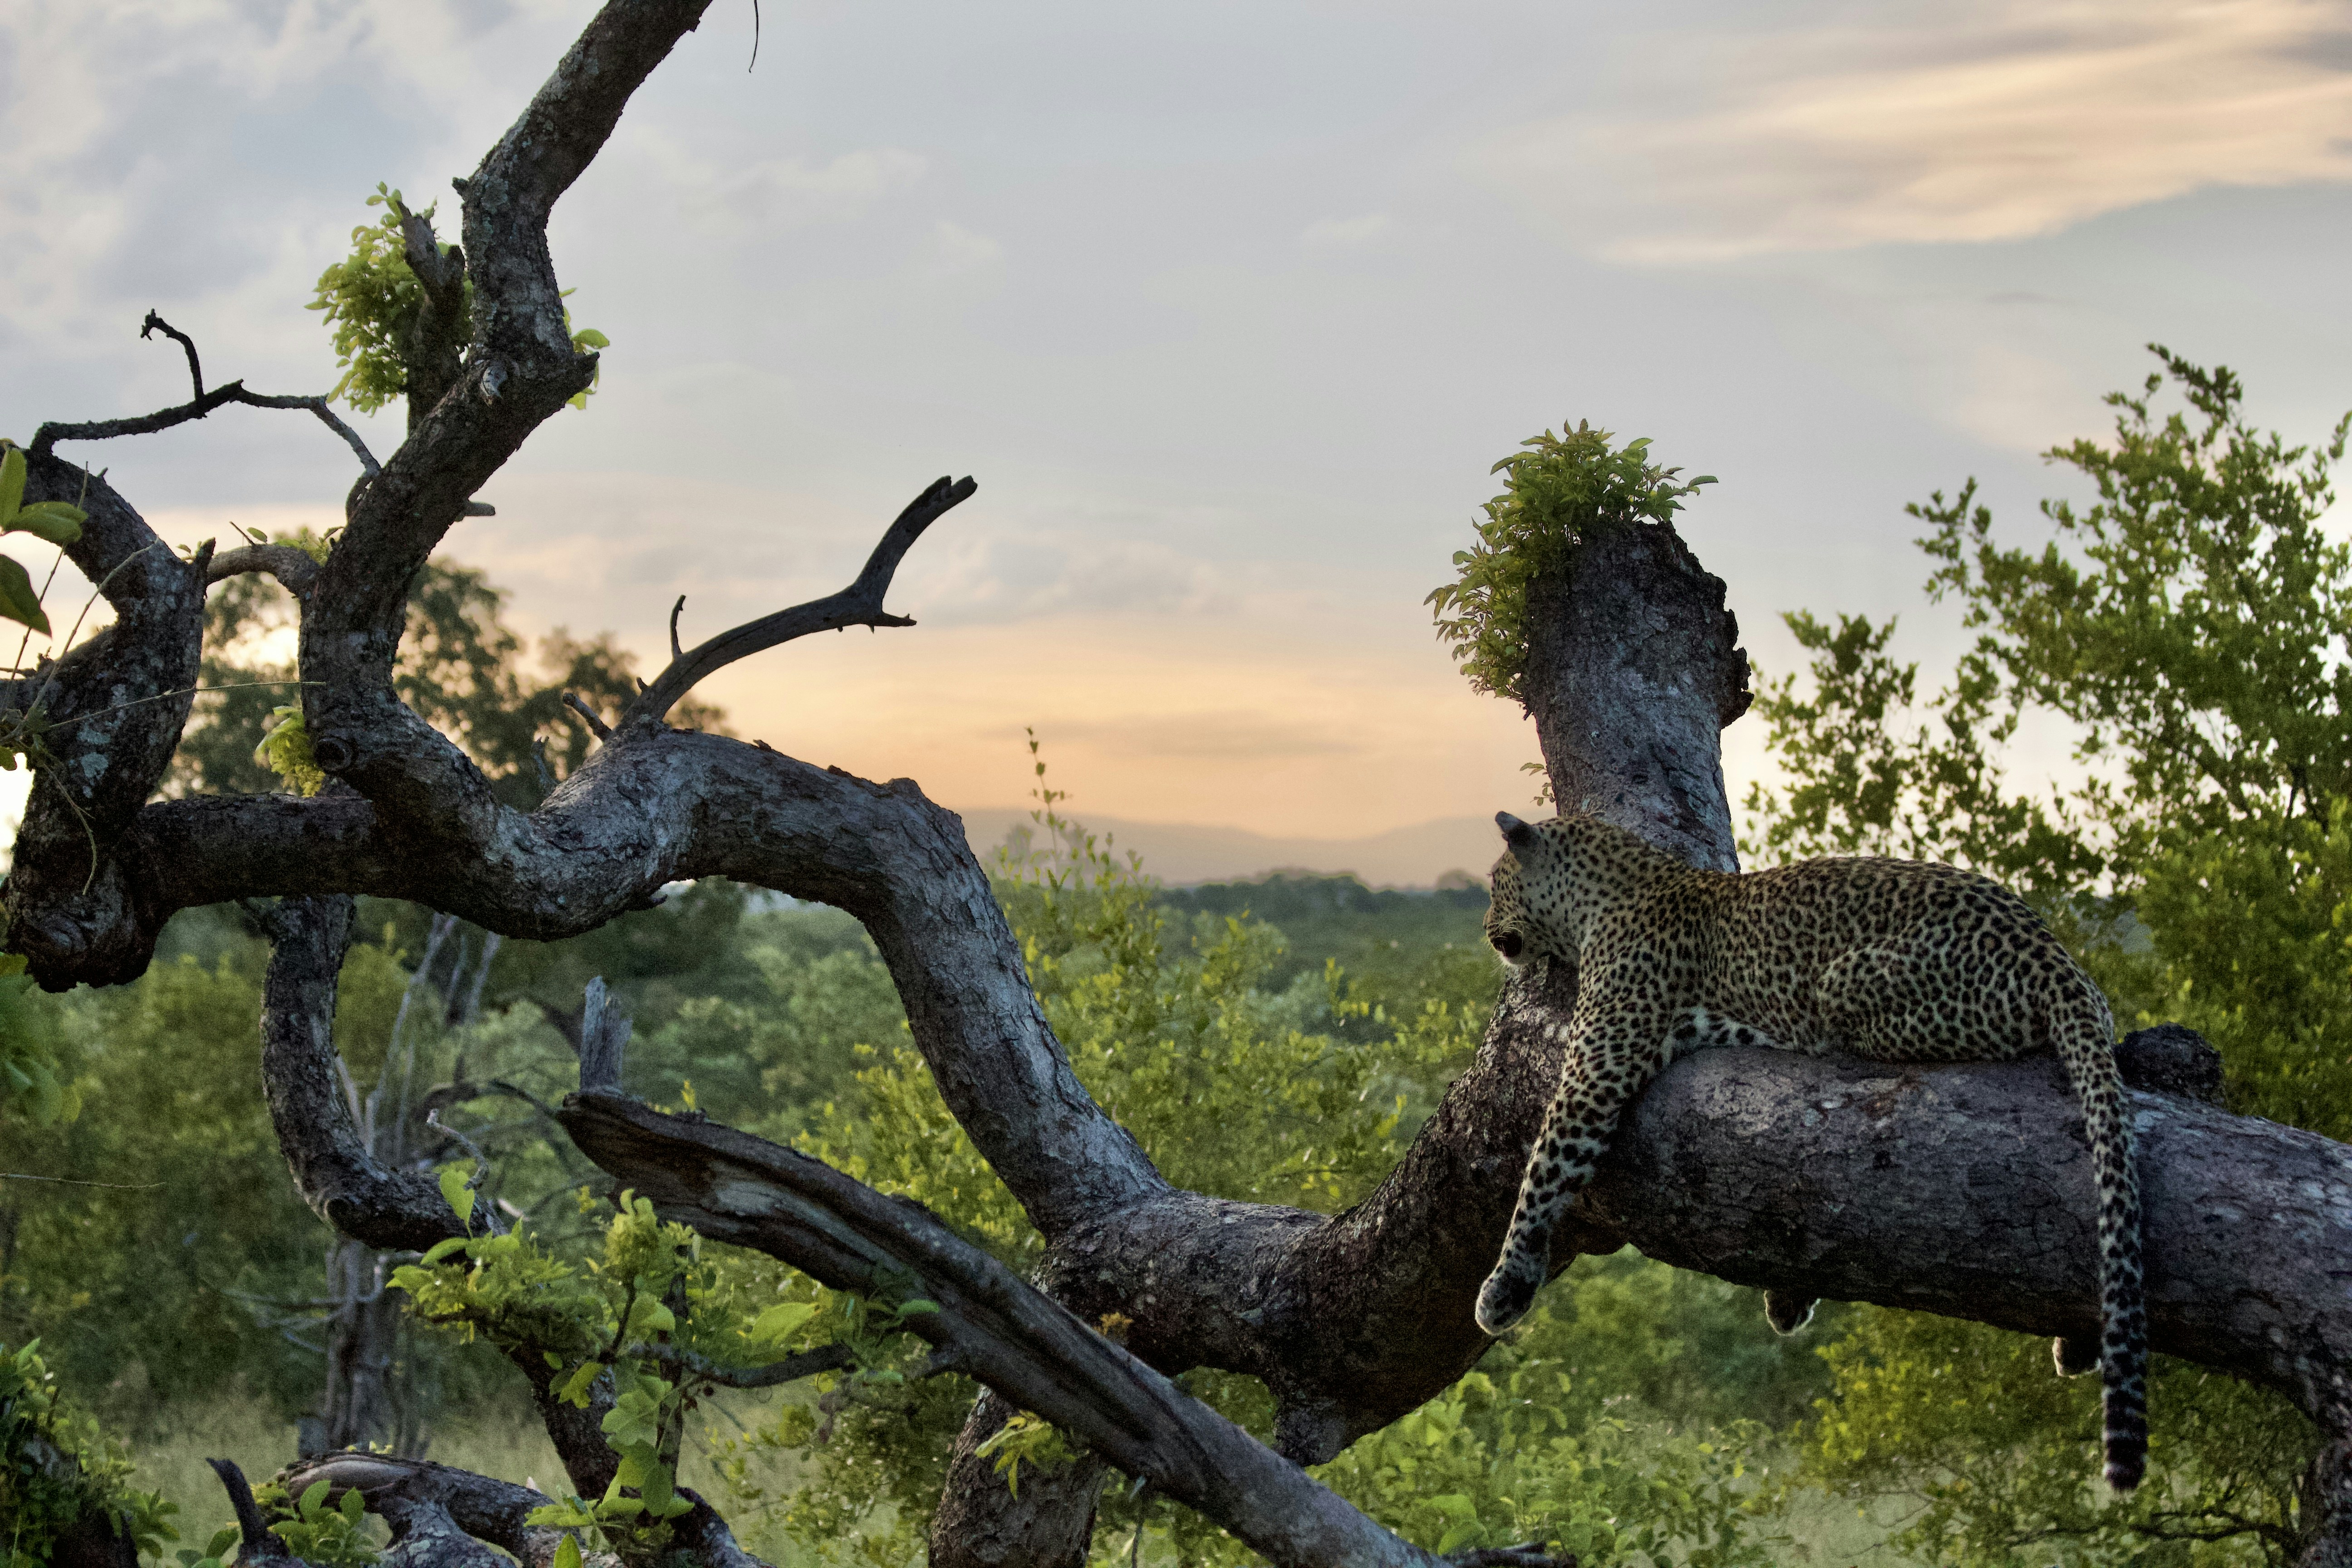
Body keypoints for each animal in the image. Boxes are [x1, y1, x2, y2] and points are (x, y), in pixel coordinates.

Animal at [1473, 809, 2147, 1492]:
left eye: (1497, 882)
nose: (1485, 930)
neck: (1608, 890)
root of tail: (2054, 956)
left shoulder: (1596, 1070)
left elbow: (1543, 1174)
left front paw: (1505, 1288)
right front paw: (1788, 1298)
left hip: (1846, 984)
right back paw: (2080, 1343)